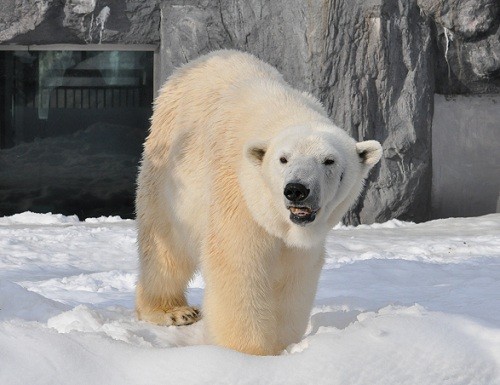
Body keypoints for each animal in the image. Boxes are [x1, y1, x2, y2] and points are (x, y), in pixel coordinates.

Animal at [135, 50, 380, 354]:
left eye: (329, 161)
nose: (296, 190)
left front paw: (283, 344)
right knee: (166, 244)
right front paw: (248, 351)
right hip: (169, 174)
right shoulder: (239, 193)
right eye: (283, 159)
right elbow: (239, 263)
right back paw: (173, 311)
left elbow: (294, 273)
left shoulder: (298, 239)